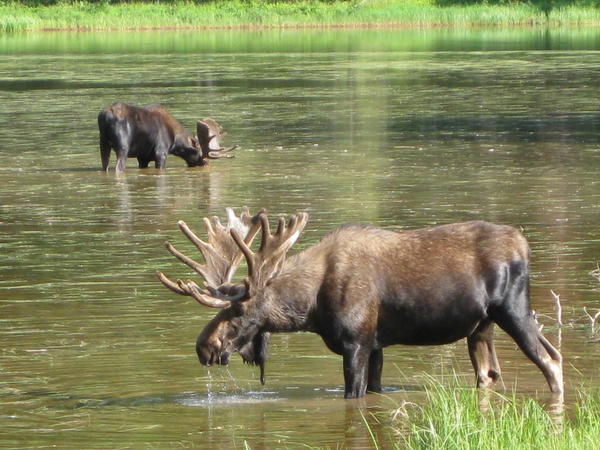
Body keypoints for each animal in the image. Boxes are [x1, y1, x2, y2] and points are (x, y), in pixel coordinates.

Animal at [97, 102, 236, 171]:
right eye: (199, 154)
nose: (206, 164)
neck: (175, 143)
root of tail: (104, 117)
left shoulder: (143, 157)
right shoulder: (161, 151)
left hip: (103, 143)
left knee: (105, 165)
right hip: (123, 146)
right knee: (119, 167)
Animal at [157, 207, 564, 398]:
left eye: (239, 310)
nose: (204, 346)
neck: (310, 309)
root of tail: (524, 244)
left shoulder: (356, 343)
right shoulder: (377, 344)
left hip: (514, 310)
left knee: (552, 360)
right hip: (481, 327)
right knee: (490, 373)